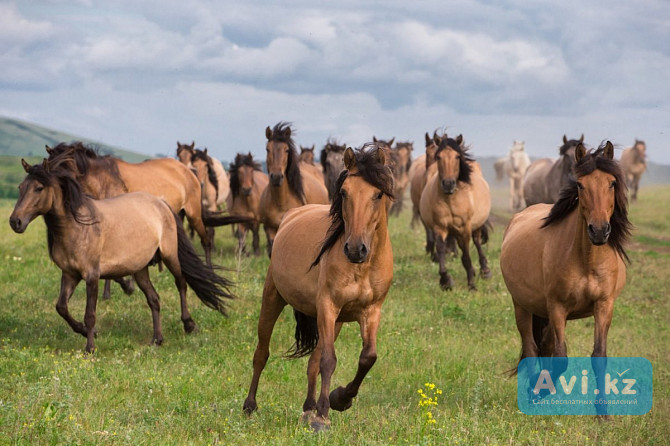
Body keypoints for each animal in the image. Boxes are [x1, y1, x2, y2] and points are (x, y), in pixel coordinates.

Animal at [244, 145, 396, 430]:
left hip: (335, 322)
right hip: (273, 298)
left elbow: (367, 357)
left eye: (378, 194)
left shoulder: (371, 311)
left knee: (312, 361)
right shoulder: (328, 306)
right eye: (344, 192)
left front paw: (340, 399)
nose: (355, 249)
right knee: (262, 353)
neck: (362, 267)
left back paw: (307, 408)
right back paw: (250, 405)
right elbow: (329, 360)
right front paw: (324, 415)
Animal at [420, 134, 494, 290]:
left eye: (457, 157)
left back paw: (485, 271)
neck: (451, 199)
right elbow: (441, 249)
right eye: (439, 157)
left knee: (477, 242)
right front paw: (445, 281)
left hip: (476, 225)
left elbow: (466, 256)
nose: (448, 184)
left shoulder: (464, 228)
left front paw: (471, 285)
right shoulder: (440, 227)